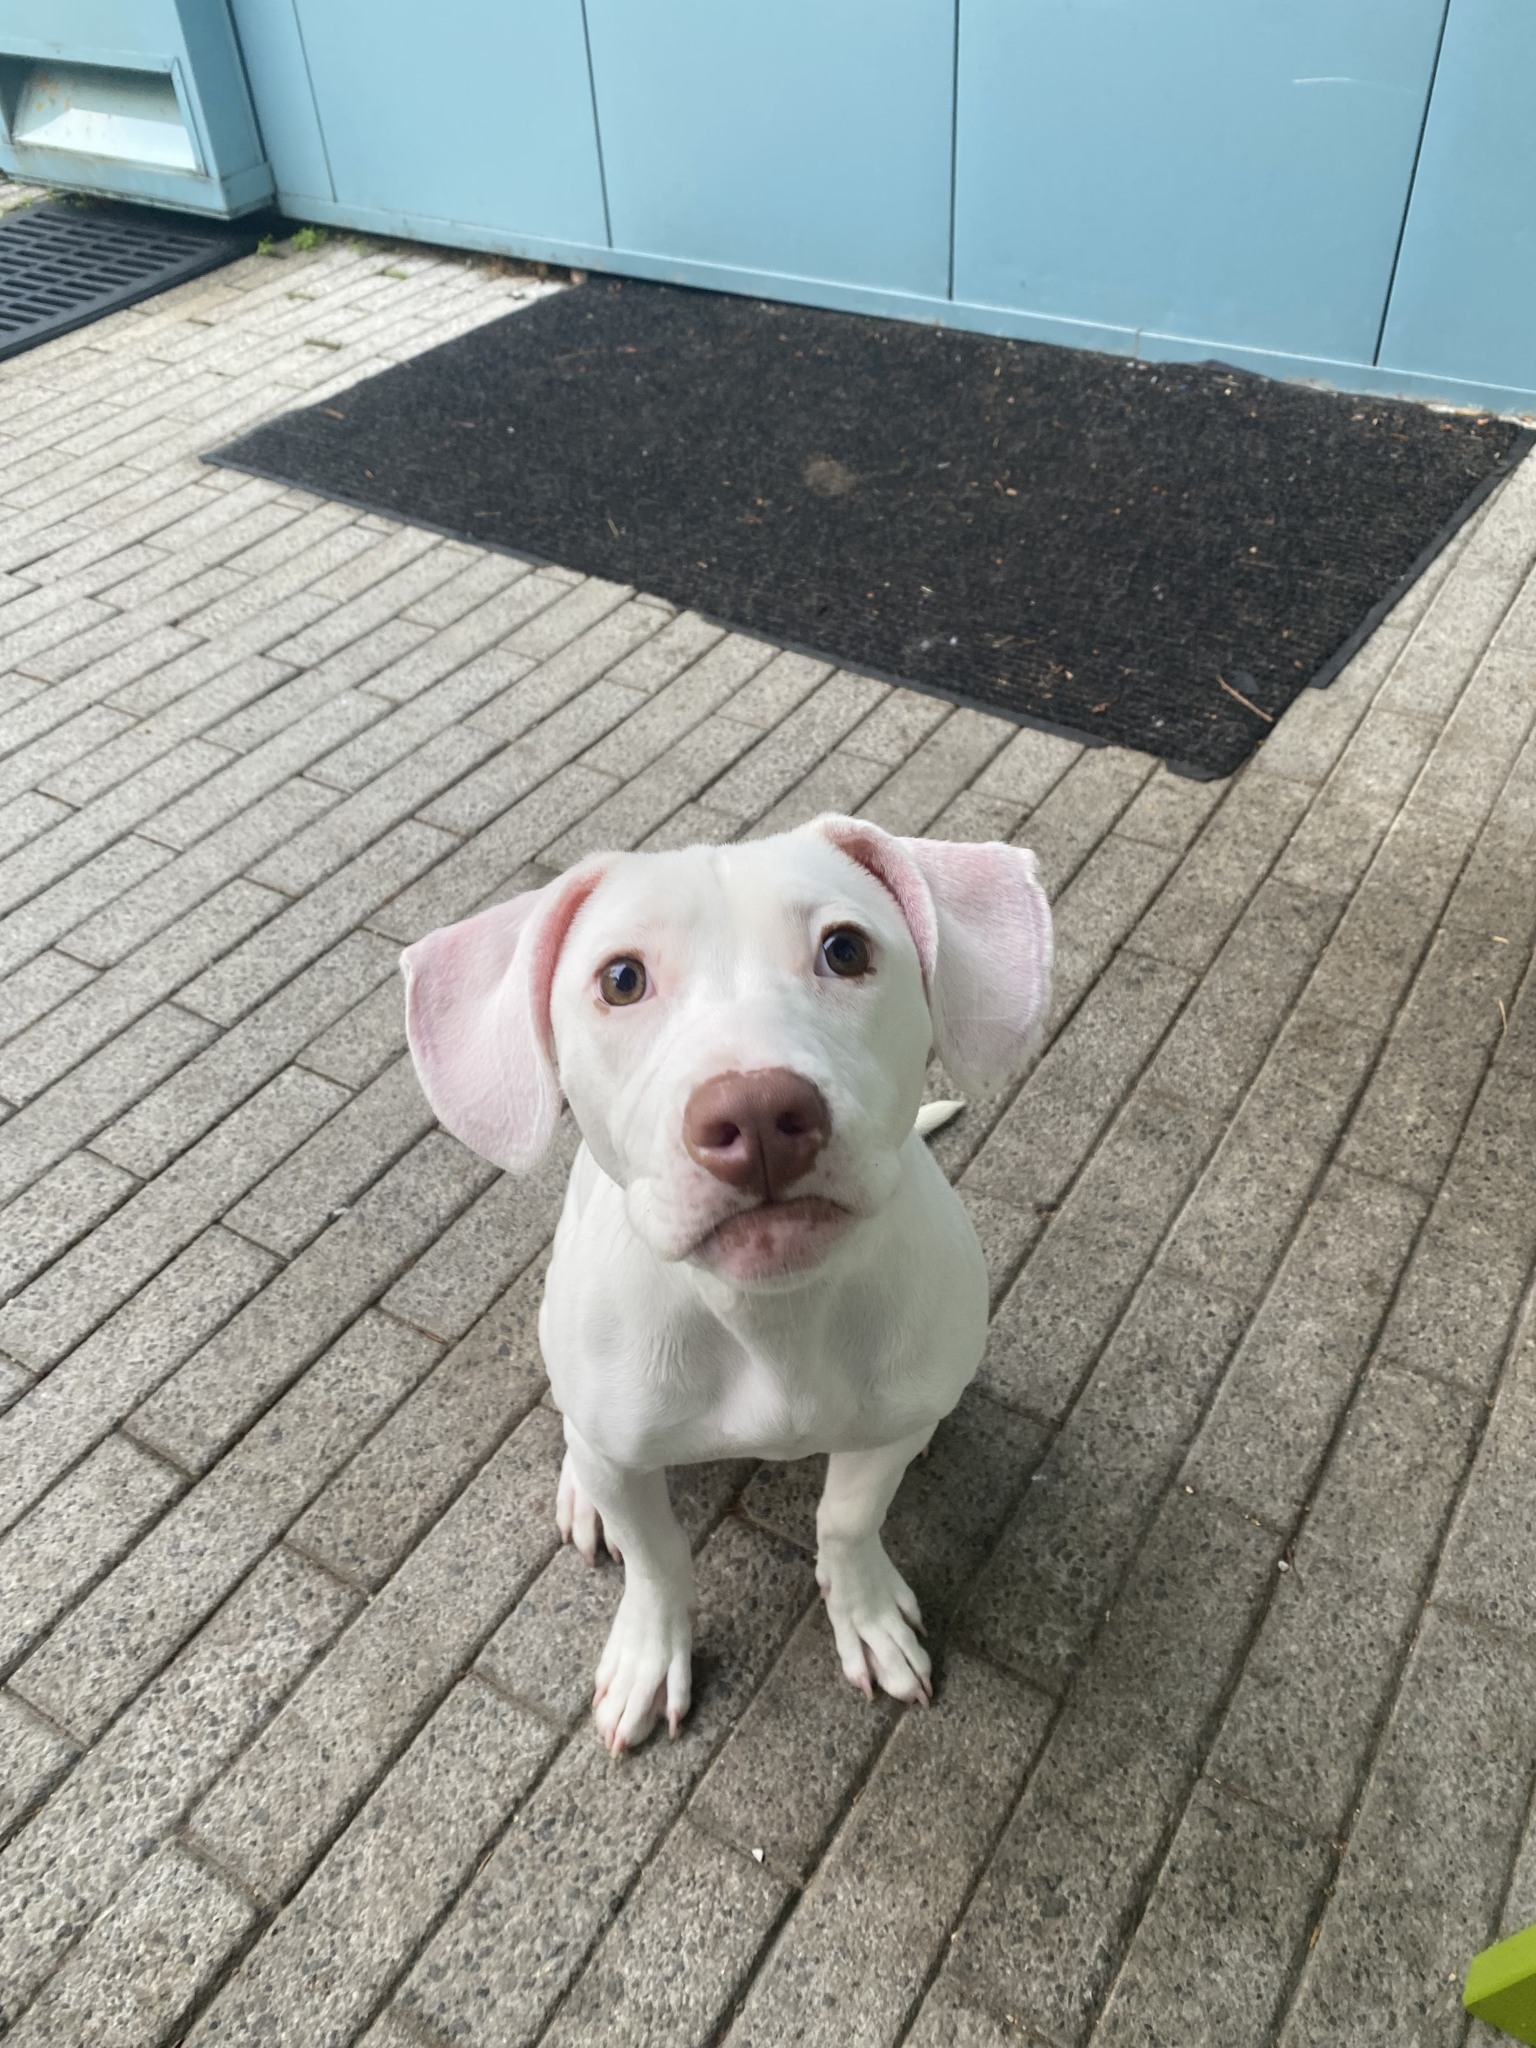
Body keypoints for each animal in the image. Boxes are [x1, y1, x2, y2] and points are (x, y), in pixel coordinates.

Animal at [403, 806, 1056, 1753]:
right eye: (622, 979)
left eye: (845, 950)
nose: (755, 1114)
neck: (766, 1316)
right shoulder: (629, 1457)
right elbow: (657, 1560)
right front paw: (649, 1653)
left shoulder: (883, 1426)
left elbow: (847, 1519)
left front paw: (865, 1616)